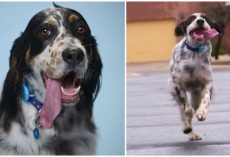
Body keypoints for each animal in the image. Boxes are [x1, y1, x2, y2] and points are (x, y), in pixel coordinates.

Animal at [170, 12, 220, 140]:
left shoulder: (207, 82)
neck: (195, 52)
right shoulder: (177, 84)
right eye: (192, 19)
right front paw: (188, 123)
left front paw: (201, 113)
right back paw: (187, 128)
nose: (200, 21)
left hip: (196, 94)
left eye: (205, 18)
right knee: (182, 111)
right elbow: (187, 109)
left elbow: (205, 99)